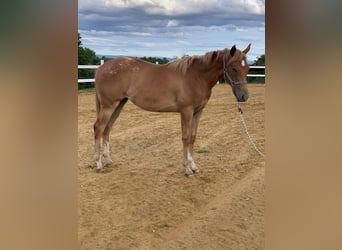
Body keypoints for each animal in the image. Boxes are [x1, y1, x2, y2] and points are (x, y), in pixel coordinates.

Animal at [93, 44, 251, 176]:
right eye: (234, 68)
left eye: (247, 68)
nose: (244, 96)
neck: (196, 77)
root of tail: (101, 68)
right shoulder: (186, 111)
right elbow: (185, 137)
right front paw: (187, 169)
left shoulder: (198, 112)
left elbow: (193, 137)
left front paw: (193, 166)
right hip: (109, 106)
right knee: (98, 128)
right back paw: (99, 164)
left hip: (119, 104)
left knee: (107, 129)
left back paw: (108, 160)